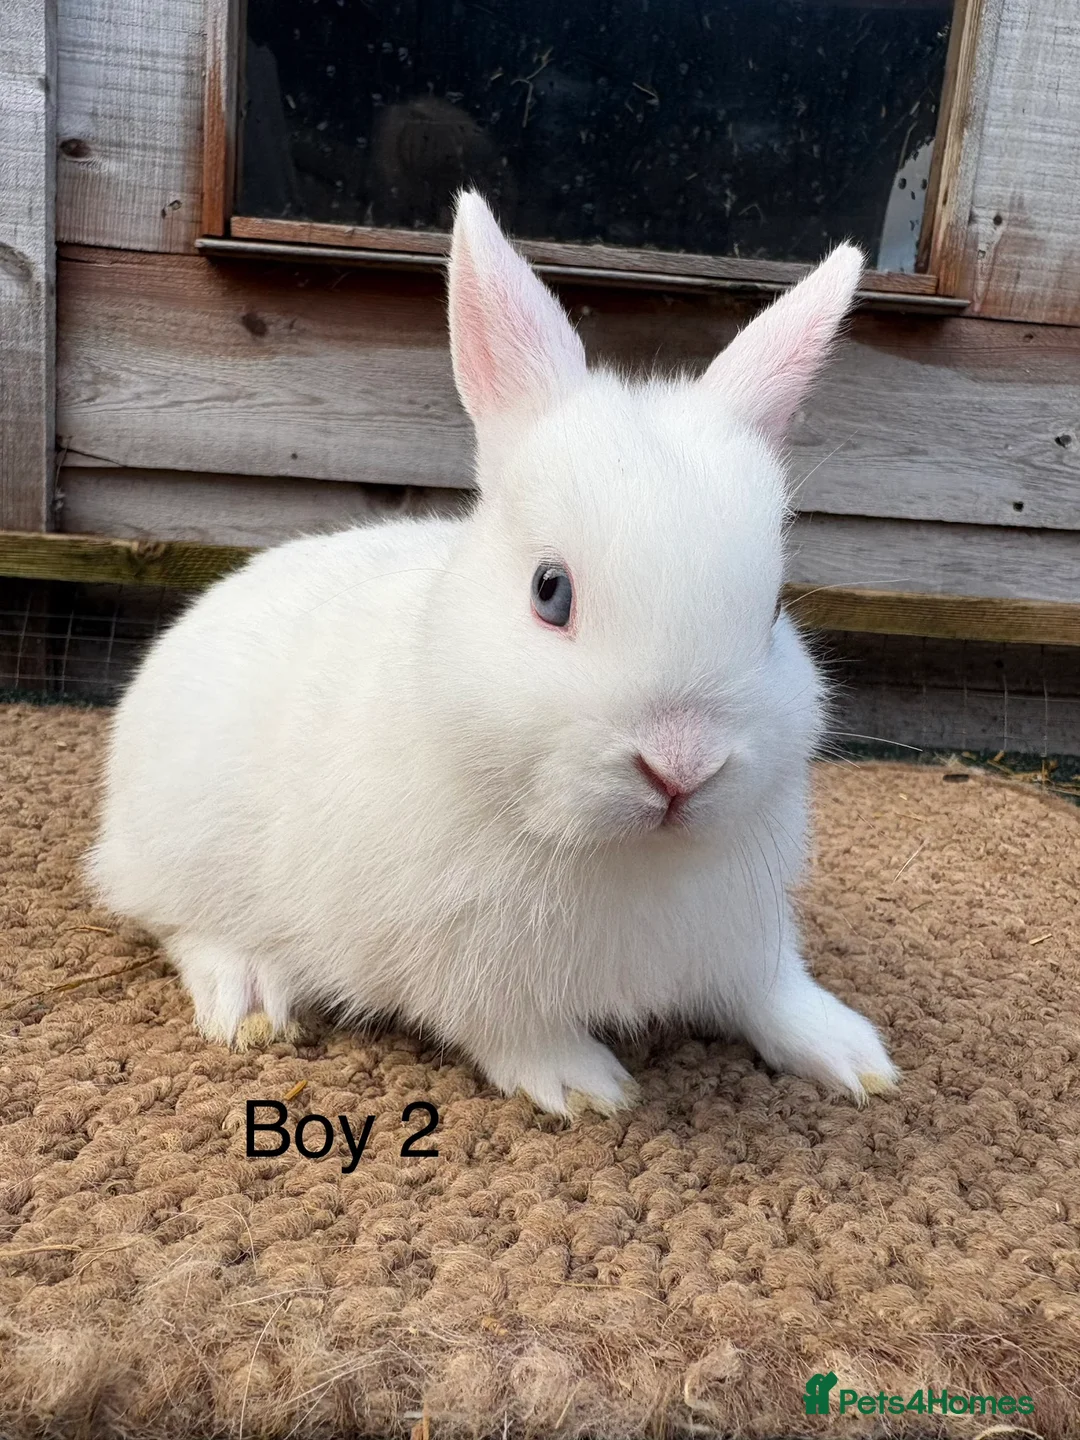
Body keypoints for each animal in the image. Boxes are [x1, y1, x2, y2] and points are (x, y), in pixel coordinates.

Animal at [87, 190, 898, 1118]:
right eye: (550, 592)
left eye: (772, 609)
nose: (680, 767)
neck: (621, 853)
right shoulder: (463, 964)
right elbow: (511, 1027)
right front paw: (585, 1087)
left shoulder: (743, 929)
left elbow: (769, 990)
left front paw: (854, 1053)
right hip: (181, 850)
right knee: (176, 923)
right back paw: (250, 997)